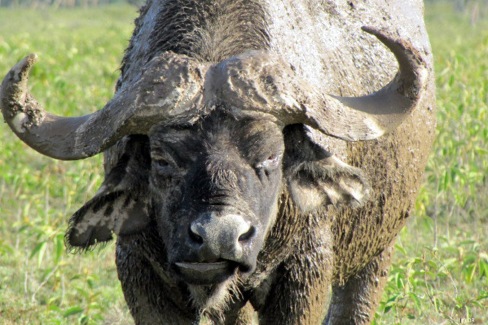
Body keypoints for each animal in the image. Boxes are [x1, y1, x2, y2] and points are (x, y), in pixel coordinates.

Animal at [0, 0, 434, 324]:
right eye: (162, 160)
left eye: (271, 156)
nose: (218, 237)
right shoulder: (138, 270)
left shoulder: (306, 272)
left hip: (379, 246)